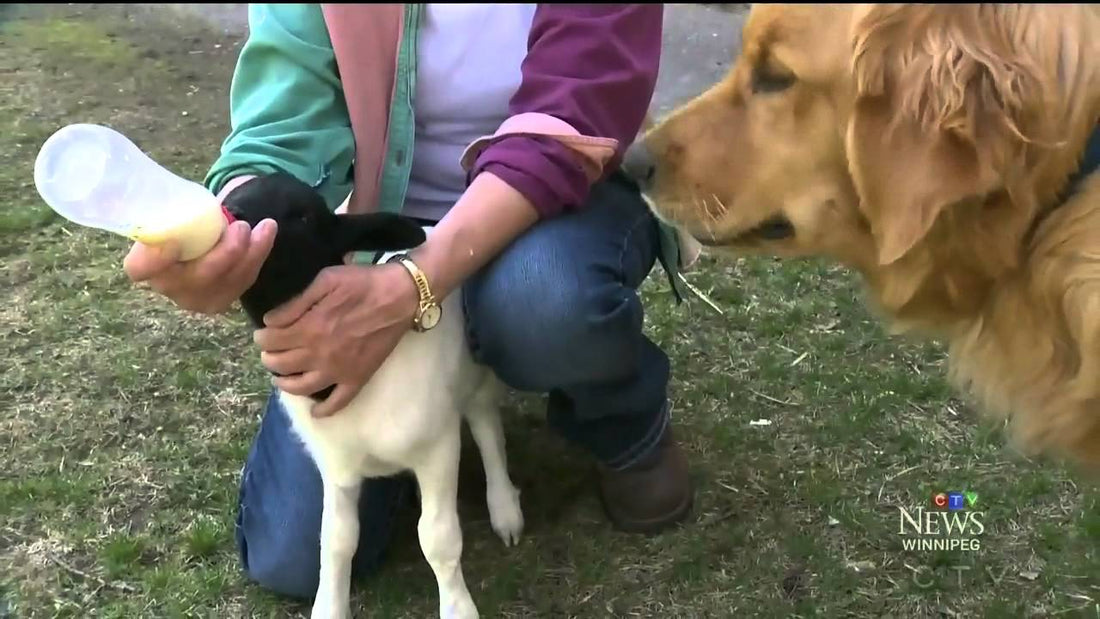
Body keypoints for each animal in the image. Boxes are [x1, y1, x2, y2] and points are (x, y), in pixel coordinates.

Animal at [222, 173, 523, 619]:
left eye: (304, 215)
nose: (235, 216)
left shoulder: (437, 449)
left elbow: (438, 539)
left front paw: (457, 608)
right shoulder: (336, 466)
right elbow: (336, 540)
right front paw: (329, 607)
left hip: (475, 378)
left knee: (489, 431)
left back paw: (504, 509)